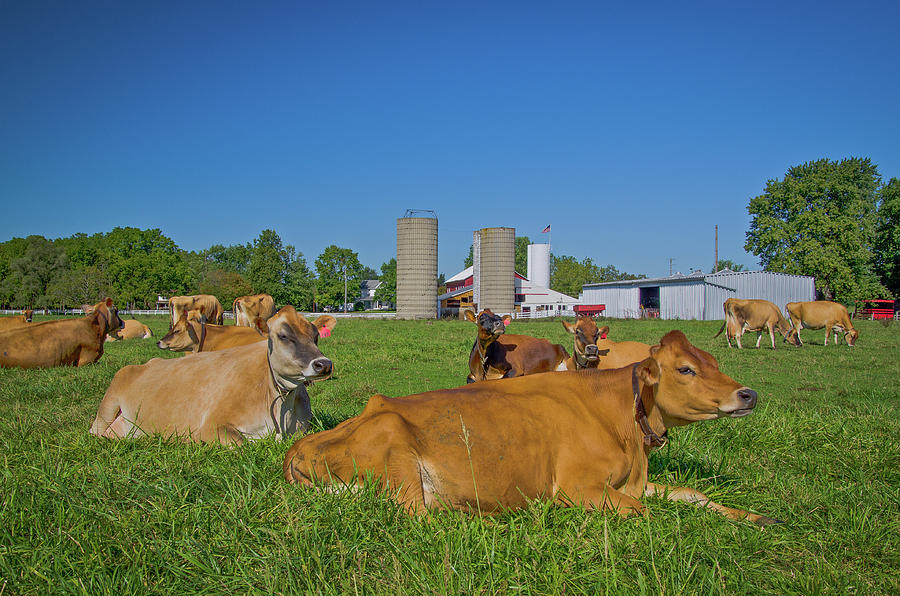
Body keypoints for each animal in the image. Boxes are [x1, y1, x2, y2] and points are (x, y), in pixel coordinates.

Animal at [89, 308, 334, 442]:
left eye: (315, 336)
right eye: (283, 335)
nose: (324, 364)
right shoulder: (210, 427)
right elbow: (241, 443)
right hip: (107, 407)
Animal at [284, 330, 776, 528]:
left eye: (714, 361)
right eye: (686, 369)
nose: (748, 394)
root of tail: (298, 447)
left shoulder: (632, 483)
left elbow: (693, 496)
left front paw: (757, 517)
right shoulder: (579, 487)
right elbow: (651, 514)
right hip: (395, 448)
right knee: (420, 515)